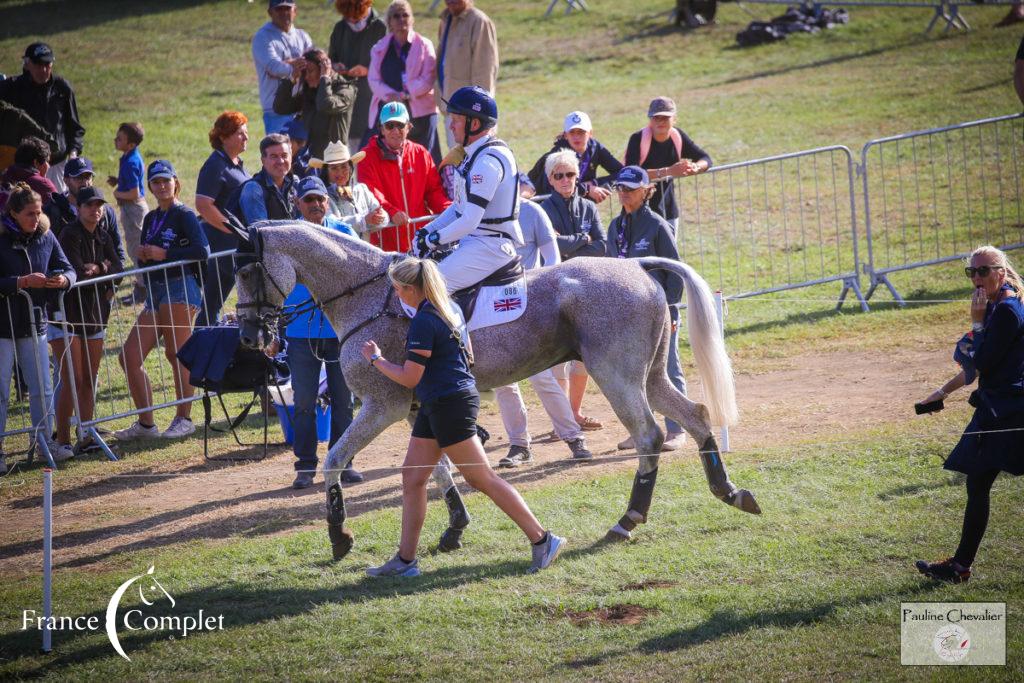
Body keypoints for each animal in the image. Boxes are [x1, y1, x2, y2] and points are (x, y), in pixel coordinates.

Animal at [232, 222, 761, 565]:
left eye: (247, 272)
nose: (251, 337)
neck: (367, 296)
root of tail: (636, 266)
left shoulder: (384, 406)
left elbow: (334, 459)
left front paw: (339, 535)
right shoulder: (419, 409)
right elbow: (438, 469)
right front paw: (454, 527)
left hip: (617, 376)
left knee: (651, 435)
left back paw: (627, 520)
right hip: (649, 375)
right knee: (695, 416)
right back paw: (729, 492)